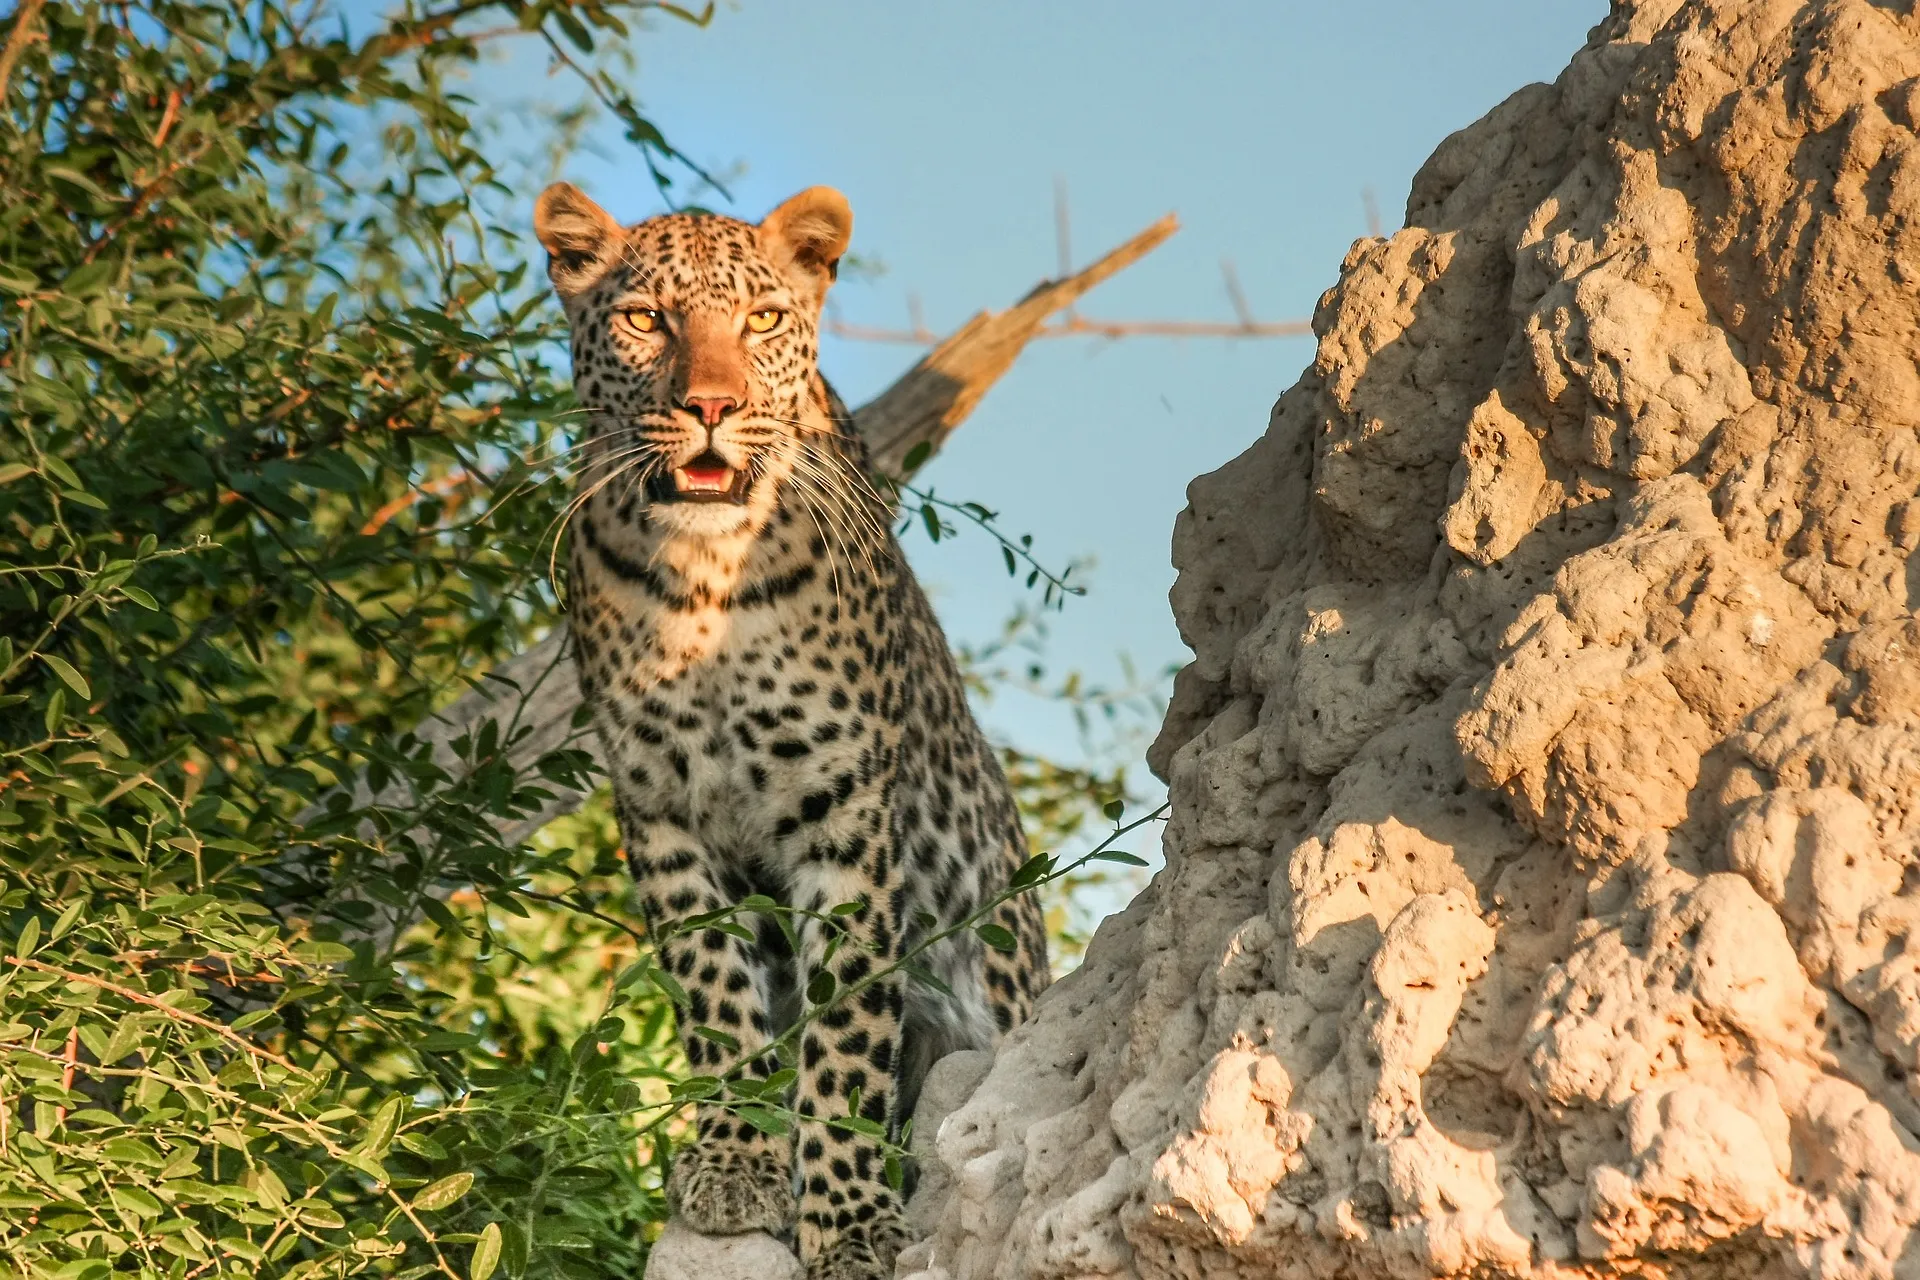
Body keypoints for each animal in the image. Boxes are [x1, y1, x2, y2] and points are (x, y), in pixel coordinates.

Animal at [533, 182, 1052, 1280]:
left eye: (764, 320)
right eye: (646, 319)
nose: (711, 408)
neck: (704, 580)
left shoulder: (843, 811)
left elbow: (846, 1030)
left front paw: (851, 1220)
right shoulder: (662, 812)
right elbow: (717, 998)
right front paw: (736, 1166)